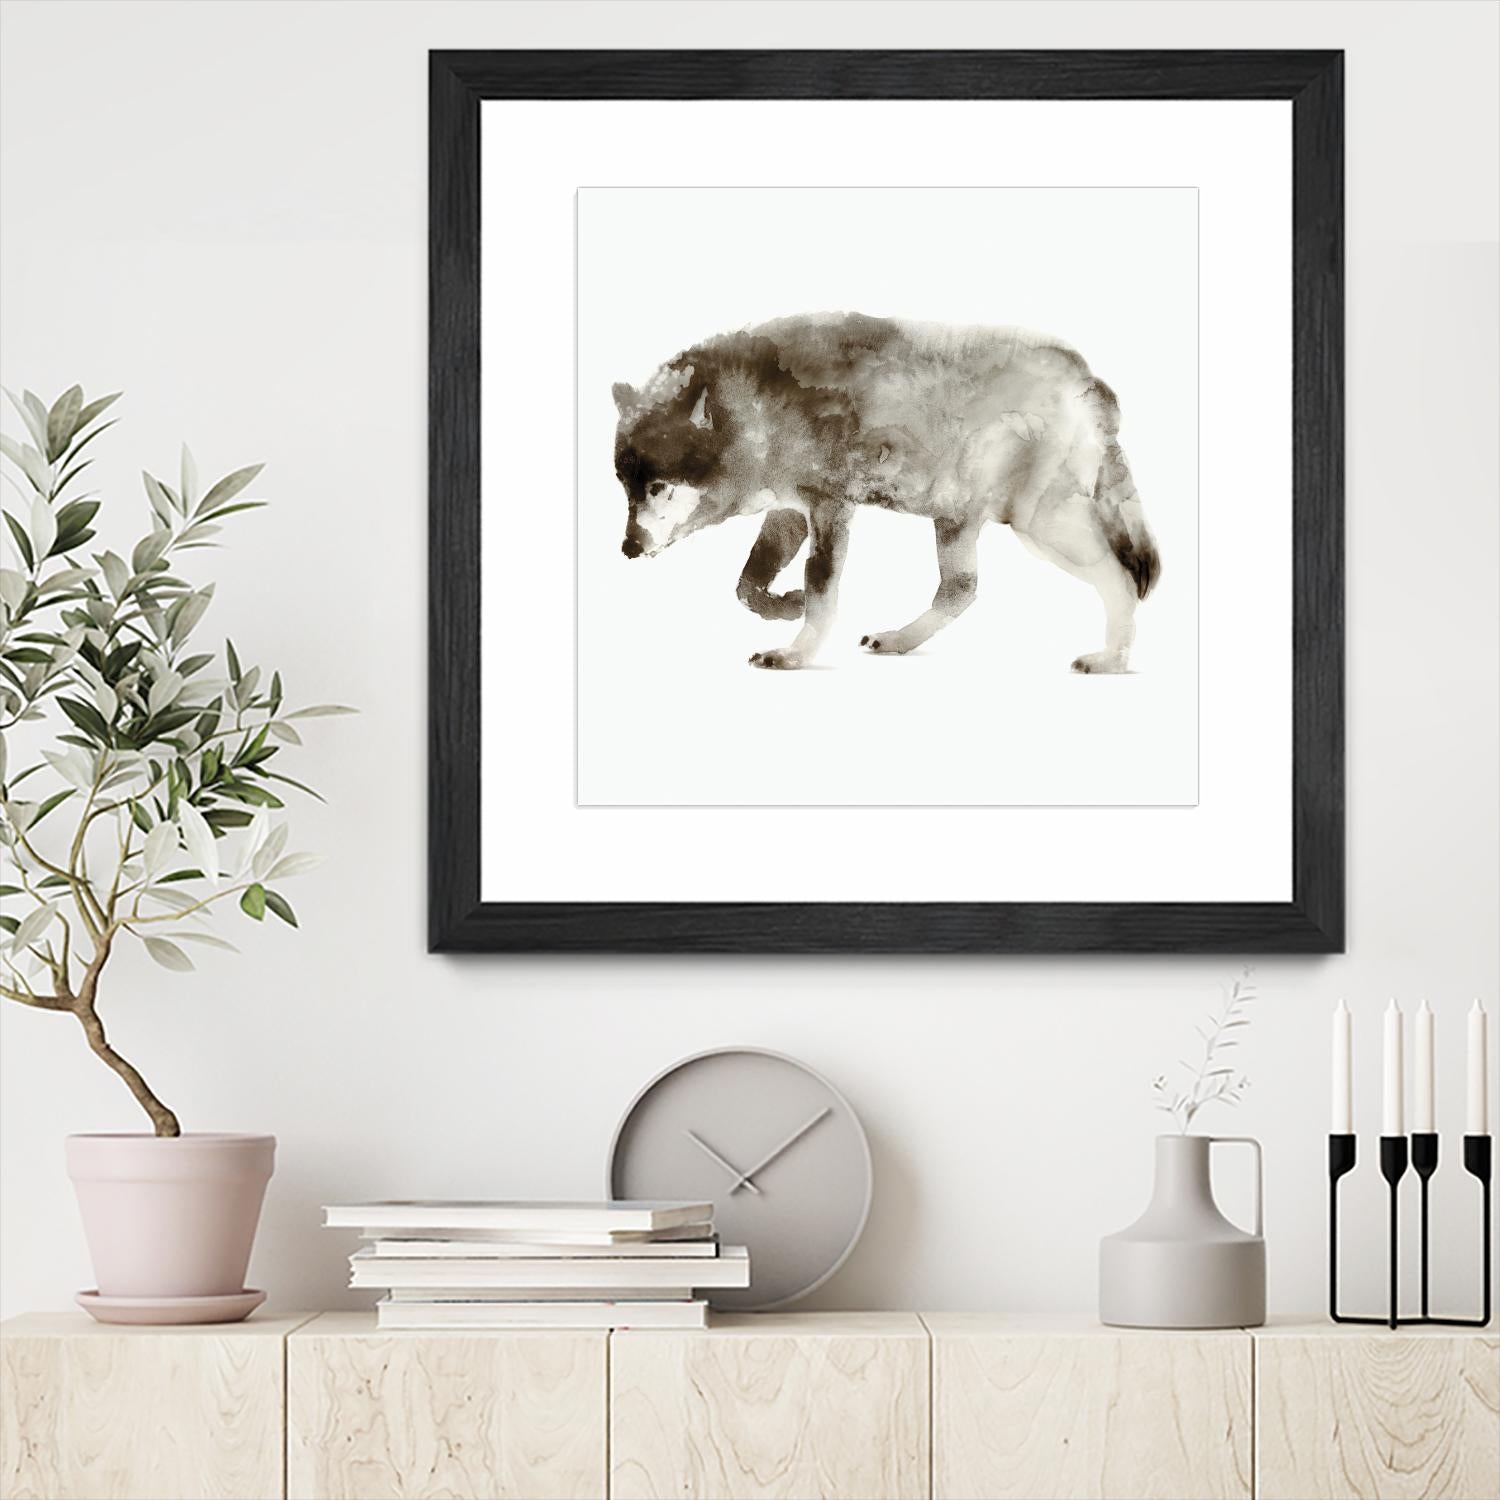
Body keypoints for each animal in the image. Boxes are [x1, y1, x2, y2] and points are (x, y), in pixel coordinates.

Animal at [612, 313, 1160, 671]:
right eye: (625, 487)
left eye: (658, 487)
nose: (628, 548)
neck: (753, 408)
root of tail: (1087, 377)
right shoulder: (791, 509)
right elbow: (748, 584)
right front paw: (785, 605)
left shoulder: (830, 507)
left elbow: (820, 590)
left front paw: (794, 653)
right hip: (957, 518)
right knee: (961, 589)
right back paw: (898, 641)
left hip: (1039, 525)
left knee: (1121, 578)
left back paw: (1112, 659)